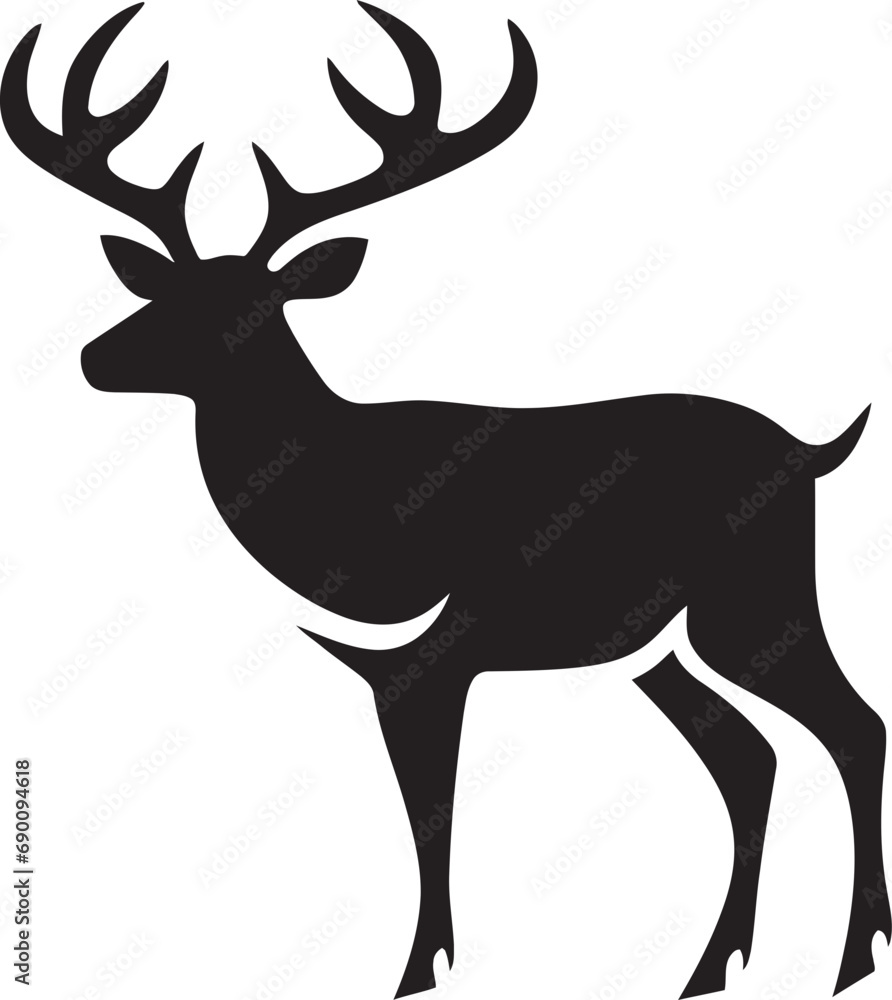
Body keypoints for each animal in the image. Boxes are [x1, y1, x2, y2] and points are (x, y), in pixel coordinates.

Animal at [2, 3, 888, 997]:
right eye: (164, 292)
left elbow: (434, 818)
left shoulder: (435, 654)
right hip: (662, 649)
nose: (93, 356)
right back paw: (710, 968)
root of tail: (813, 452)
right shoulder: (395, 667)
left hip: (756, 604)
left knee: (854, 726)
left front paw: (417, 971)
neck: (357, 522)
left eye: (245, 307)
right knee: (748, 757)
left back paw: (854, 956)